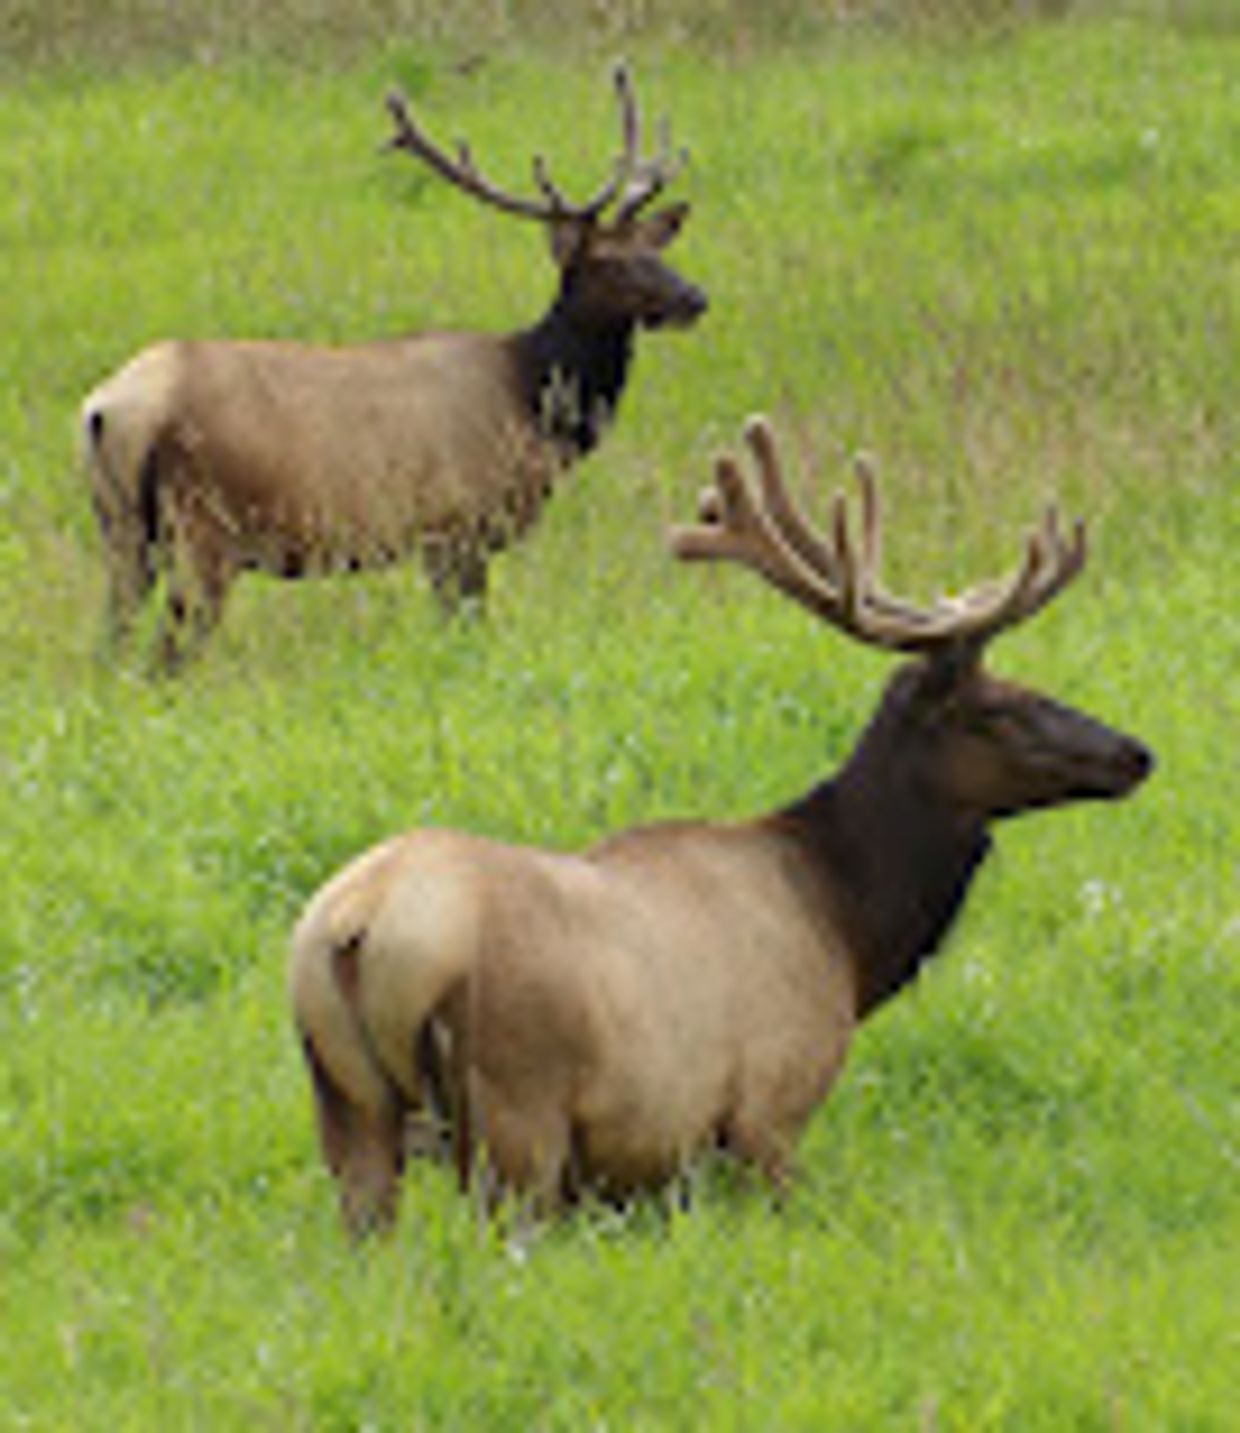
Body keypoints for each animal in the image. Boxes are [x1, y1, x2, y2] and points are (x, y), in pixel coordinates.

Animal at [80, 64, 706, 668]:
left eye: (657, 248)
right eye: (607, 262)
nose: (694, 297)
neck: (533, 405)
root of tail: (108, 408)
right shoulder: (456, 529)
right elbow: (467, 631)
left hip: (123, 534)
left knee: (112, 646)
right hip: (202, 530)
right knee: (166, 654)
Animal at [287, 415, 1153, 1236]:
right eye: (1001, 706)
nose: (1134, 752)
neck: (847, 933)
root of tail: (357, 923)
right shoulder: (771, 1105)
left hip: (348, 1104)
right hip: (512, 1112)